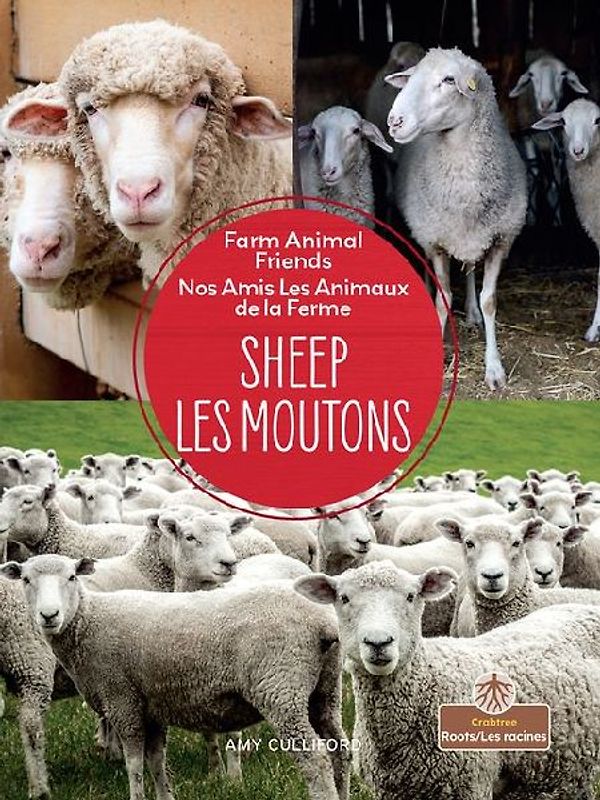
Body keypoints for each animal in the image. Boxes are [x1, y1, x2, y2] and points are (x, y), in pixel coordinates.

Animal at [4, 554, 350, 800]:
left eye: (72, 577)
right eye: (26, 579)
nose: (49, 616)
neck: (88, 621)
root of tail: (322, 623)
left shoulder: (122, 700)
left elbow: (134, 765)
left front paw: (136, 796)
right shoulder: (151, 705)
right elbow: (156, 761)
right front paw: (165, 796)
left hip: (281, 688)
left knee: (315, 759)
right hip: (325, 691)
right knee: (340, 750)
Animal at [387, 48, 527, 389]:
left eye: (449, 80)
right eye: (412, 76)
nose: (394, 121)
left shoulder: (500, 239)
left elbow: (490, 300)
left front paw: (494, 368)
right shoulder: (436, 241)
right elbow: (443, 299)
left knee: (470, 269)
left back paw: (472, 314)